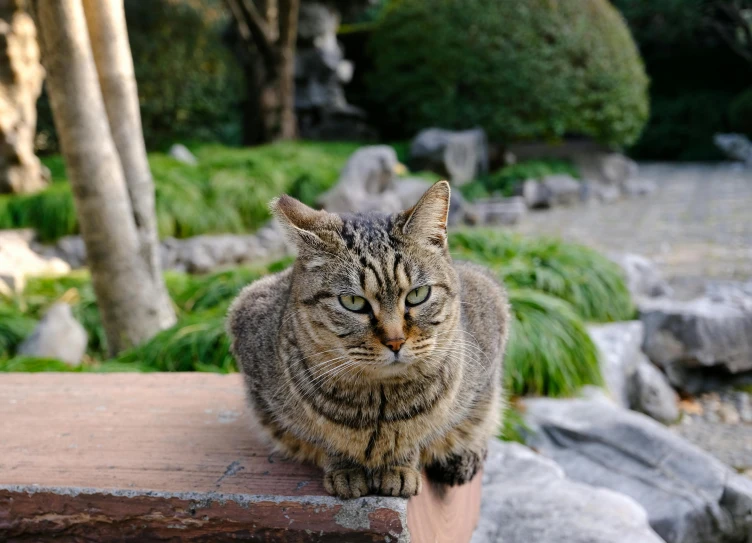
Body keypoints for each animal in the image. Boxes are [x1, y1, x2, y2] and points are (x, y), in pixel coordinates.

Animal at [228, 181, 512, 500]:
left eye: (417, 295)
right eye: (353, 302)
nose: (395, 341)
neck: (380, 403)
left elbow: (429, 433)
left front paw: (400, 468)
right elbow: (326, 441)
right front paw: (346, 470)